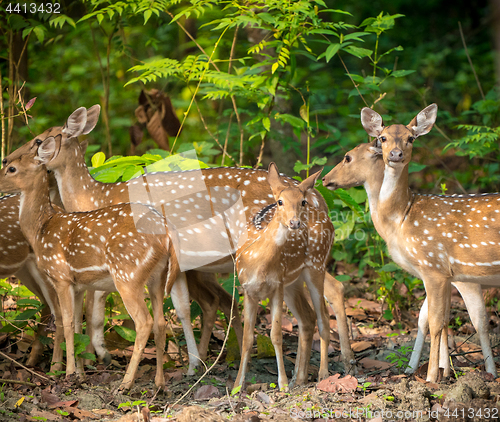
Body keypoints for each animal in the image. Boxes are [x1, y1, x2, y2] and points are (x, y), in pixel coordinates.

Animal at [0, 147, 180, 390]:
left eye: (11, 168)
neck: (41, 229)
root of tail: (166, 235)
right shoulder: (79, 285)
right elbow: (77, 325)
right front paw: (80, 374)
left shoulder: (61, 276)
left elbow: (66, 323)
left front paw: (67, 373)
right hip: (157, 277)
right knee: (161, 323)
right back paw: (160, 384)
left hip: (127, 274)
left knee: (145, 322)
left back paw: (125, 383)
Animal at [234, 163, 332, 390]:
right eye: (280, 202)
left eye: (302, 201)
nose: (294, 222)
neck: (258, 262)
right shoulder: (248, 289)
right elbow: (247, 338)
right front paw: (237, 385)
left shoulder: (276, 286)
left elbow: (276, 335)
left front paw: (283, 384)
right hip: (293, 282)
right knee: (308, 318)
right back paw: (300, 378)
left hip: (316, 266)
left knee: (323, 318)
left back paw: (322, 374)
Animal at [322, 141, 498, 376]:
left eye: (348, 157)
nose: (325, 179)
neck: (402, 218)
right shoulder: (444, 275)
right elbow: (432, 319)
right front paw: (424, 369)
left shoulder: (444, 271)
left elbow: (463, 321)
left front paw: (436, 374)